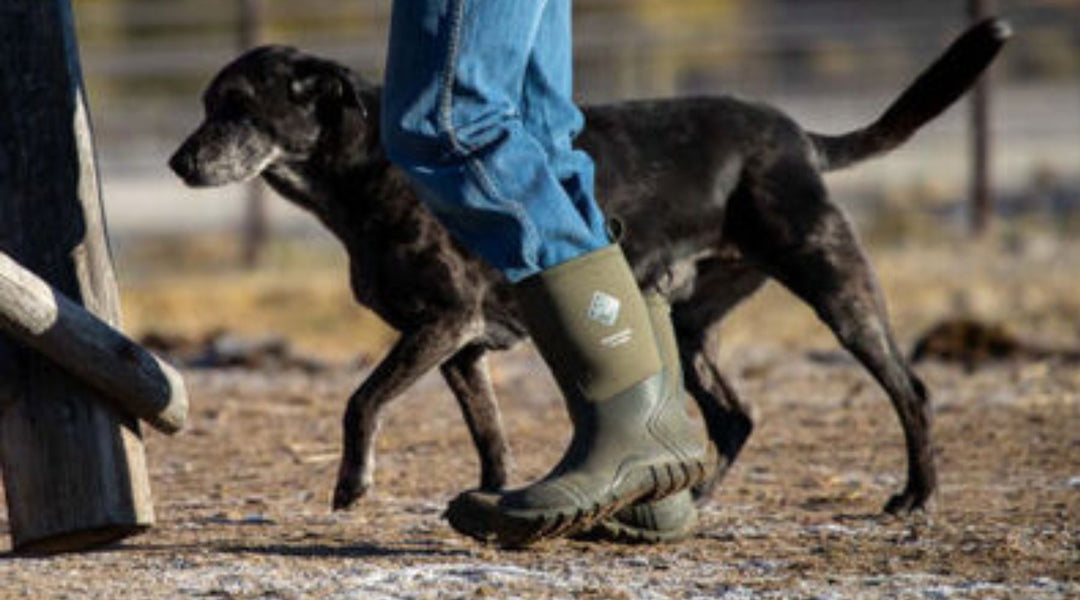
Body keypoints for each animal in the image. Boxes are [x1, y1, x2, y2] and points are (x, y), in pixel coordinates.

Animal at [170, 19, 1010, 515]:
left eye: (239, 108)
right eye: (208, 104)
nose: (179, 164)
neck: (372, 166)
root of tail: (800, 136)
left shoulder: (441, 323)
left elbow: (360, 400)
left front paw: (353, 484)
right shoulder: (460, 346)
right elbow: (489, 433)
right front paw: (491, 497)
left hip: (834, 283)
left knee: (911, 390)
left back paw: (916, 496)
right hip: (690, 323)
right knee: (735, 416)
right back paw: (691, 496)